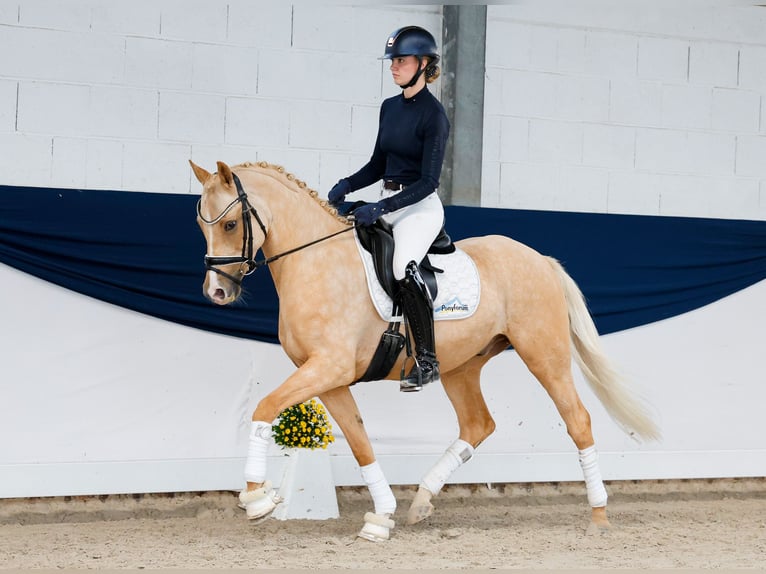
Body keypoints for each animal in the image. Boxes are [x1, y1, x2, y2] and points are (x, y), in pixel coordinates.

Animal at [190, 159, 660, 541]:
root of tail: (540, 258)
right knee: (478, 424)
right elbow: (360, 441)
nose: (216, 292)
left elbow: (264, 407)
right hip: (461, 366)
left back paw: (599, 515)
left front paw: (257, 498)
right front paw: (381, 518)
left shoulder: (328, 367)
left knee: (577, 419)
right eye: (201, 226)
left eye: (230, 225)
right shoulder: (327, 376)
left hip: (544, 353)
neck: (315, 261)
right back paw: (420, 501)